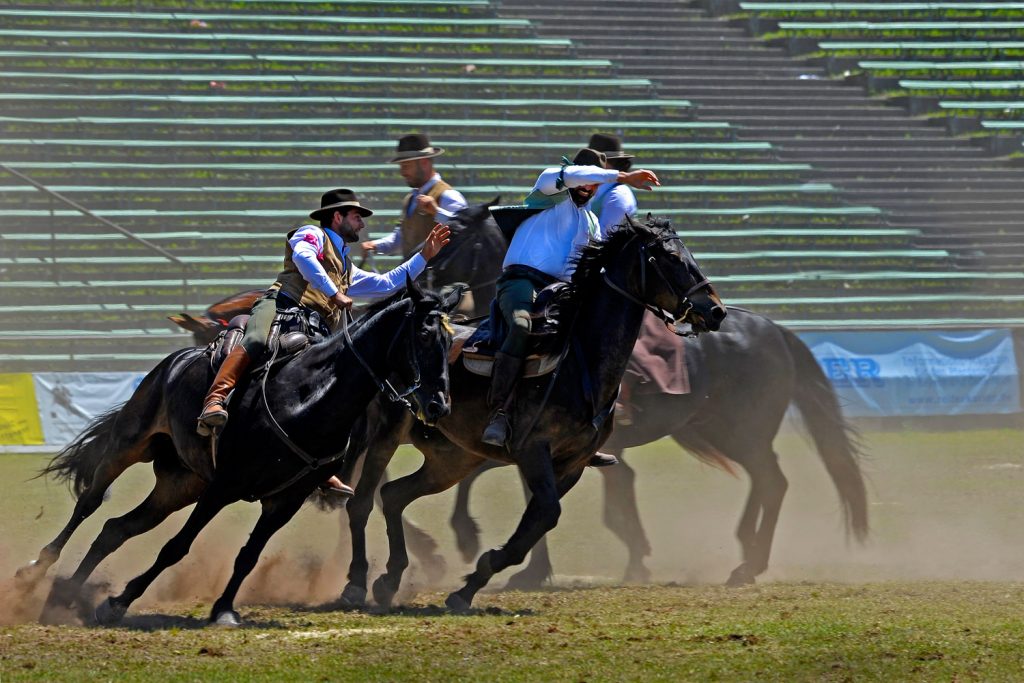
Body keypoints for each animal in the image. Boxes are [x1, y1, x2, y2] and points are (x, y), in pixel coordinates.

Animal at [18, 280, 460, 626]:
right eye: (424, 335)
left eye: (449, 340)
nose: (438, 405)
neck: (307, 396)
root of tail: (176, 361)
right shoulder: (224, 487)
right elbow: (176, 547)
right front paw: (115, 604)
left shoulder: (285, 500)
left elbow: (248, 555)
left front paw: (224, 610)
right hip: (130, 444)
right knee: (90, 502)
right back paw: (33, 571)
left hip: (182, 483)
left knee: (116, 528)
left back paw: (65, 595)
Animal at [339, 216, 724, 610]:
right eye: (669, 257)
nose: (715, 310)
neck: (577, 360)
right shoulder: (533, 451)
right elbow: (544, 515)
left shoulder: (571, 464)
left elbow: (535, 523)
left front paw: (469, 586)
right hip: (387, 432)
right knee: (362, 501)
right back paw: (355, 584)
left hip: (451, 458)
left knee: (393, 495)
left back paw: (390, 579)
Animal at [444, 307, 868, 589]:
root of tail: (776, 331)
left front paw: (471, 540)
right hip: (723, 431)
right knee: (769, 481)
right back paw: (748, 554)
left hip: (741, 433)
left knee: (772, 480)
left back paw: (748, 562)